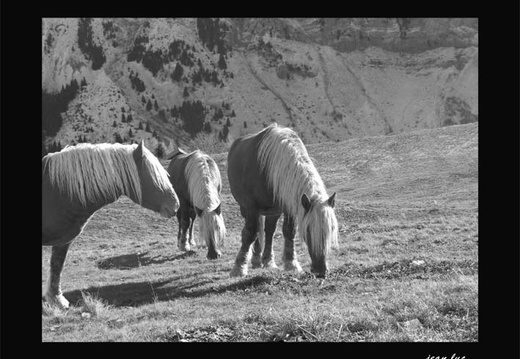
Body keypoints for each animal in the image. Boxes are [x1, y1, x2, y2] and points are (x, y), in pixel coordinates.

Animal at [40, 141, 180, 310]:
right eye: (154, 176)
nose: (175, 205)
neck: (54, 192)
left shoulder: (63, 242)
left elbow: (57, 267)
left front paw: (57, 300)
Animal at [226, 124, 338, 278]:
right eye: (308, 229)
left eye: (331, 228)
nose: (320, 270)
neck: (270, 168)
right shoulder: (251, 206)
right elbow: (250, 233)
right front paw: (239, 267)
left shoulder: (288, 206)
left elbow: (289, 231)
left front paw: (291, 264)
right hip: (246, 209)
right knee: (256, 230)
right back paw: (256, 260)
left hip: (273, 211)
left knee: (269, 231)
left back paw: (267, 261)